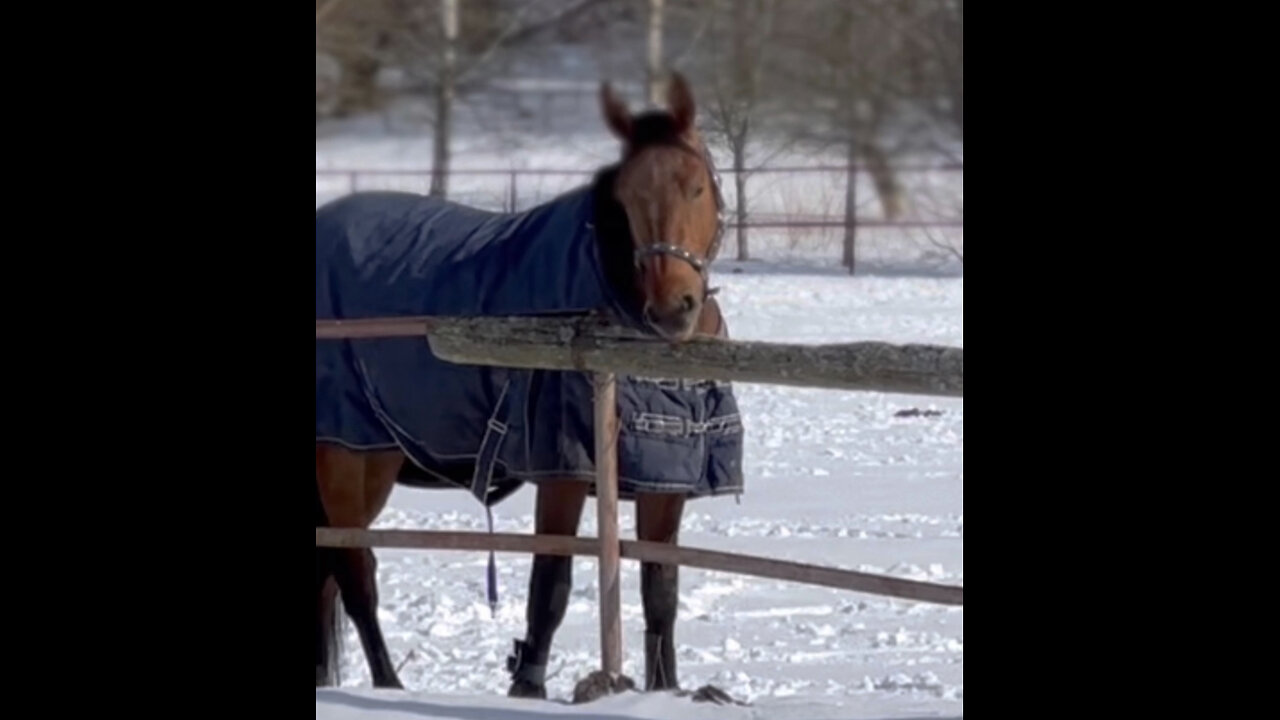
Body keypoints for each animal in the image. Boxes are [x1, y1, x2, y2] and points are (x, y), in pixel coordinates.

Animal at [314, 73, 747, 702]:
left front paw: (665, 691)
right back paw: (391, 688)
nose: (672, 309)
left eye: (694, 187)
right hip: (347, 457)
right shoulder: (561, 470)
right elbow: (551, 585)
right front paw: (529, 688)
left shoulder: (667, 479)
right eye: (628, 199)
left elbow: (660, 593)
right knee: (356, 575)